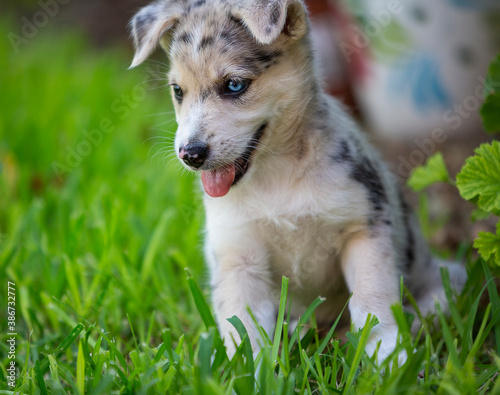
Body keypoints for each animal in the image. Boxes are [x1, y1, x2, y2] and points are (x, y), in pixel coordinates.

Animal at [128, 0, 464, 366]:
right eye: (178, 91)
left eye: (234, 85)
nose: (190, 154)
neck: (277, 175)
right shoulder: (238, 257)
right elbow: (242, 328)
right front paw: (247, 371)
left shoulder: (366, 229)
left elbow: (372, 300)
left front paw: (388, 358)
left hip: (450, 279)